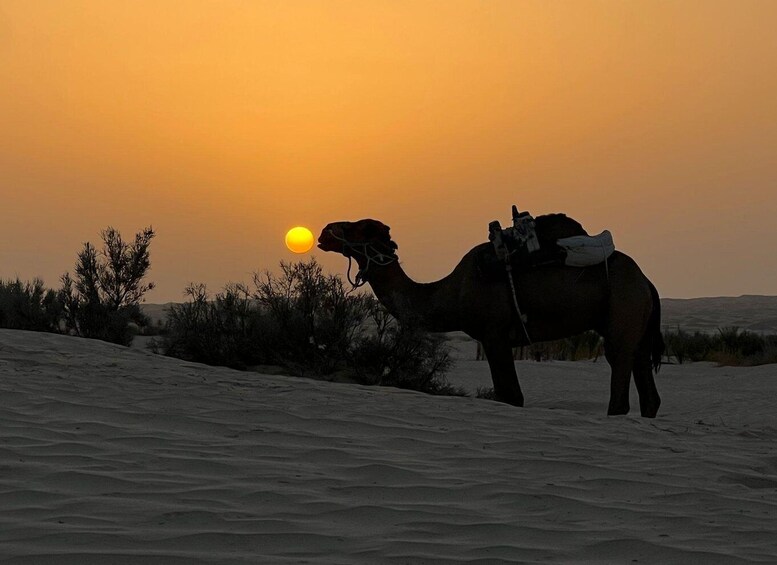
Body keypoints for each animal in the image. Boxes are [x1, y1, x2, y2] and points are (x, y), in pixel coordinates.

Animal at [318, 216, 663, 417]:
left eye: (360, 227)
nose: (324, 232)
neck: (451, 294)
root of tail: (648, 282)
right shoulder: (492, 339)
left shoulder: (494, 334)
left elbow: (511, 396)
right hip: (638, 326)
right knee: (648, 390)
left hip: (624, 311)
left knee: (619, 376)